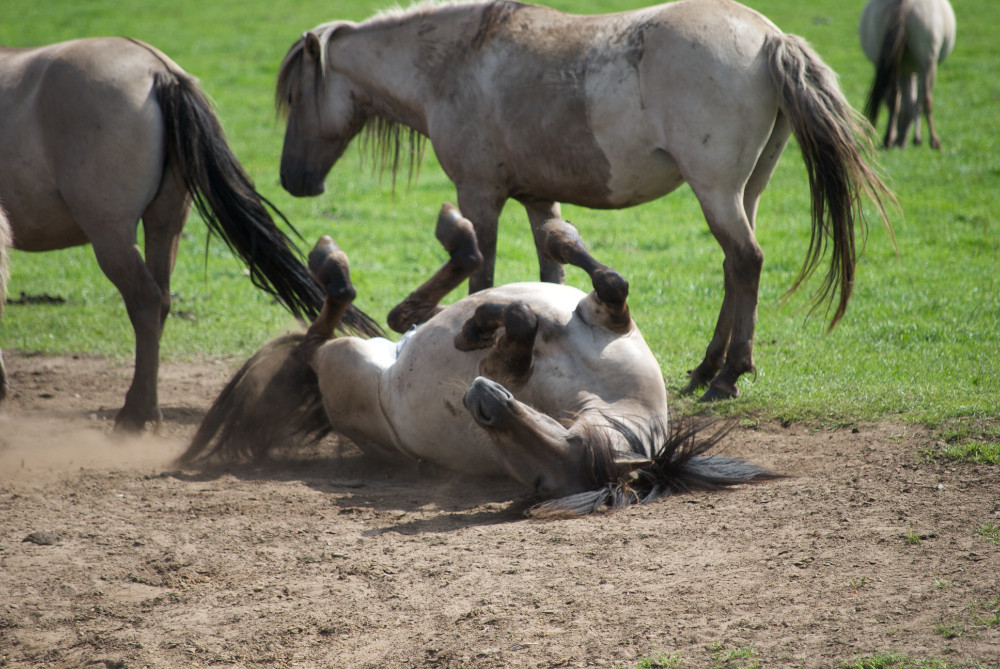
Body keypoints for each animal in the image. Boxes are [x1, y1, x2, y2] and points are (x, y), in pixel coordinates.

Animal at [0, 37, 378, 434]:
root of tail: (158, 69)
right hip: (165, 223)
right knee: (161, 300)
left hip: (110, 228)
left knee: (145, 299)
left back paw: (138, 414)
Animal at [184, 204, 784, 516]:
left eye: (541, 482)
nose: (480, 403)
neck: (601, 395)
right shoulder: (608, 317)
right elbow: (604, 280)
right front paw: (554, 239)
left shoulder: (506, 370)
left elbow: (517, 323)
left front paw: (480, 327)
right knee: (400, 313)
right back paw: (452, 242)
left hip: (345, 361)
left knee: (323, 331)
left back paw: (334, 265)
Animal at [276, 0, 900, 402]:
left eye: (297, 96)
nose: (291, 180)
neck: (458, 59)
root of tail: (771, 37)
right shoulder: (538, 201)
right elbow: (547, 275)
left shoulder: (479, 196)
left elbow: (481, 274)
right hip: (746, 192)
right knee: (733, 267)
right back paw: (705, 370)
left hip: (716, 191)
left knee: (746, 261)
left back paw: (727, 377)